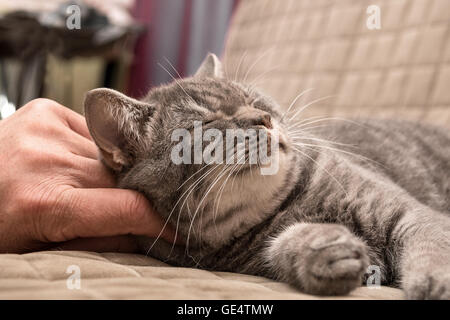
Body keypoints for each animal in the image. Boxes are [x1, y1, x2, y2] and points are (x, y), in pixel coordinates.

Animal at [84, 53, 450, 298]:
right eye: (208, 124)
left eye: (254, 100)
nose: (263, 118)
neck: (289, 205)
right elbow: (280, 250)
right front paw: (318, 247)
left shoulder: (407, 213)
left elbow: (433, 245)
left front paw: (437, 281)